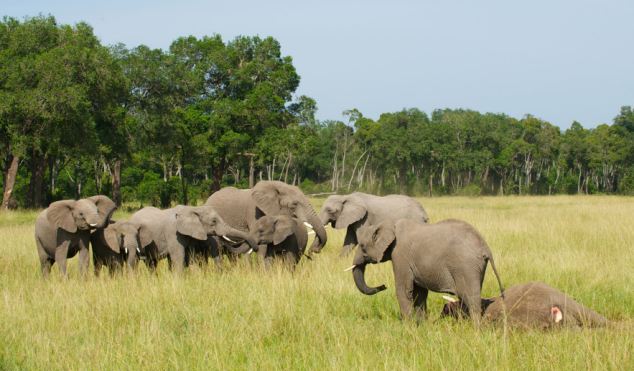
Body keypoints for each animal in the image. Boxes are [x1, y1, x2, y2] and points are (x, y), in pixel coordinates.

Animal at [128, 205, 256, 272]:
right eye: (214, 221)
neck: (193, 209)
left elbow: (190, 256)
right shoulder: (173, 233)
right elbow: (178, 257)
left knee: (151, 263)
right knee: (135, 261)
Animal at [348, 219, 502, 324]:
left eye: (362, 246)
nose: (383, 286)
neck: (389, 223)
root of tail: (484, 247)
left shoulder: (400, 256)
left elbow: (404, 290)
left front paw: (408, 327)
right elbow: (420, 293)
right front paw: (421, 326)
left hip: (465, 266)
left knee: (469, 297)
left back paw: (475, 328)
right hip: (476, 267)